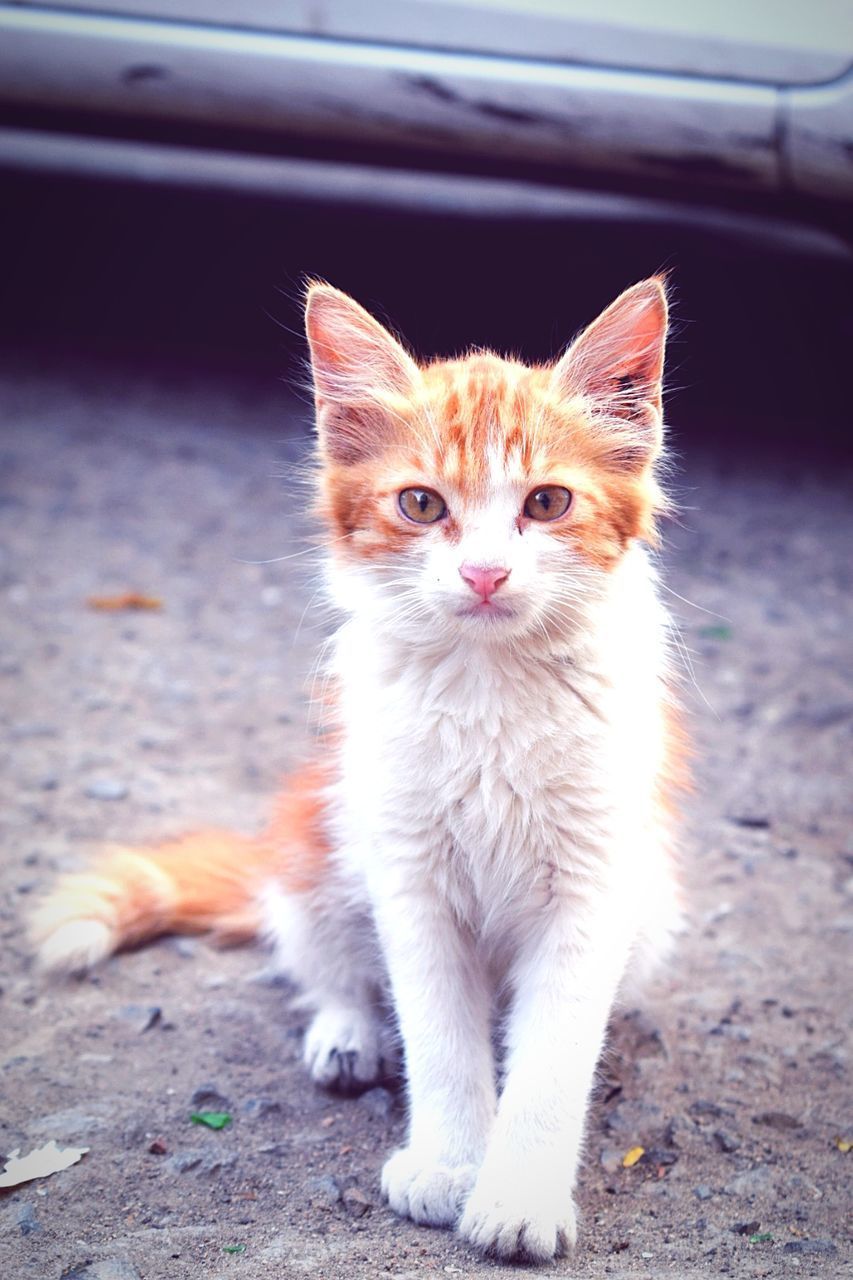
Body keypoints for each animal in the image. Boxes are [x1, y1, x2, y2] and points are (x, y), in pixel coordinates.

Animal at [34, 277, 686, 1259]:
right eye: (420, 505)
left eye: (545, 504)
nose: (484, 574)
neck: (487, 689)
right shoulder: (408, 873)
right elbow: (437, 1034)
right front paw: (450, 1165)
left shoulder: (595, 882)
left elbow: (550, 1058)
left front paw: (516, 1195)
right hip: (326, 837)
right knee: (319, 956)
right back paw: (345, 1034)